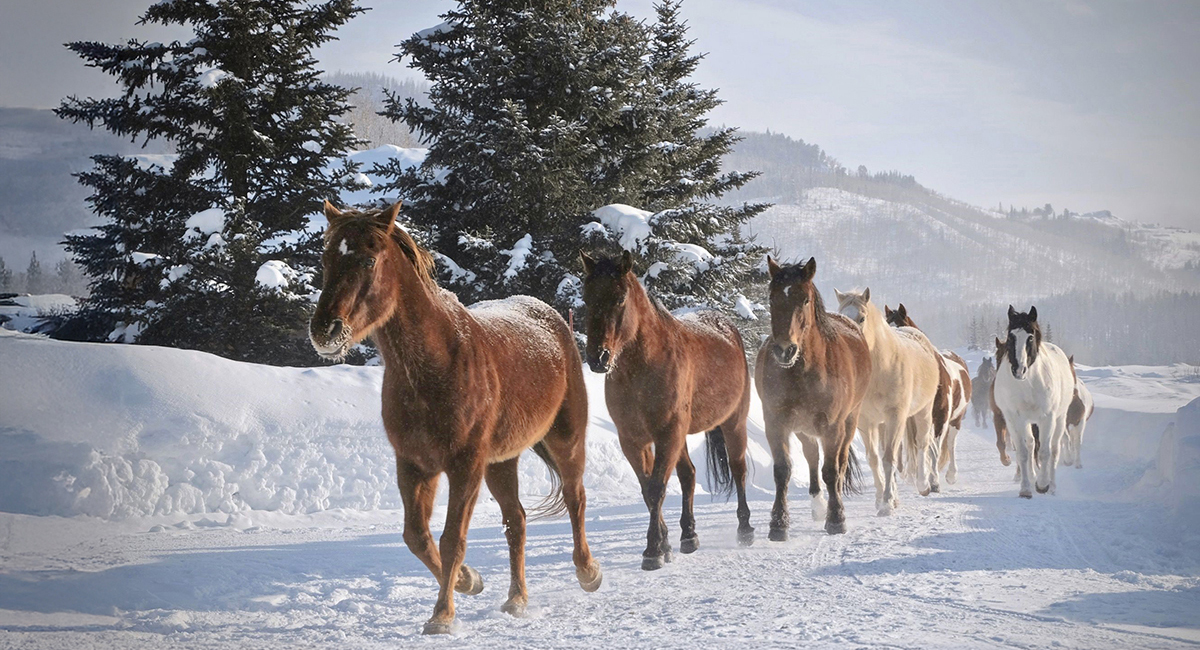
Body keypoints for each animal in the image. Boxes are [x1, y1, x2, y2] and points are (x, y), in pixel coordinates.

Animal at [309, 202, 600, 638]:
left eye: (368, 259)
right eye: (327, 258)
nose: (325, 330)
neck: (437, 364)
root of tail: (552, 318)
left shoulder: (464, 466)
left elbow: (451, 539)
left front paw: (442, 615)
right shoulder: (415, 465)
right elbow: (416, 536)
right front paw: (469, 580)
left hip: (564, 439)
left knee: (574, 498)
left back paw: (588, 572)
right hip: (500, 463)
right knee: (517, 521)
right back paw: (517, 599)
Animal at [578, 251, 748, 573]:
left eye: (620, 298)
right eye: (586, 297)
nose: (598, 358)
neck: (641, 367)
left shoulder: (667, 433)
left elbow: (657, 488)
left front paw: (652, 551)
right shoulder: (633, 439)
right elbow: (648, 489)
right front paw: (666, 544)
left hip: (733, 424)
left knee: (738, 470)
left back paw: (746, 528)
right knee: (689, 475)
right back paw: (689, 535)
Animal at [758, 257, 873, 537]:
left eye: (805, 300)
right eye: (772, 298)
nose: (784, 350)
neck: (804, 371)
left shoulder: (832, 426)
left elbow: (831, 471)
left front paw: (836, 519)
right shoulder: (775, 423)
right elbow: (782, 471)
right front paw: (778, 524)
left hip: (849, 422)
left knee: (839, 463)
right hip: (804, 428)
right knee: (811, 457)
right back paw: (818, 505)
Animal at [840, 289, 940, 515]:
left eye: (862, 318)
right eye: (841, 316)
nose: (849, 345)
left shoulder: (896, 416)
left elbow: (889, 459)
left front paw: (886, 503)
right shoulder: (866, 422)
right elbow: (875, 459)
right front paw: (882, 500)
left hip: (923, 412)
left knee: (922, 444)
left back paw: (924, 485)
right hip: (884, 424)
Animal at [988, 305, 1075, 498]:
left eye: (1030, 337)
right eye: (1011, 336)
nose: (1019, 369)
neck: (1027, 385)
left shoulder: (1047, 418)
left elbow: (1044, 452)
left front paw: (1042, 485)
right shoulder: (1013, 419)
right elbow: (1023, 453)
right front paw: (1026, 489)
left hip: (1059, 419)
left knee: (1054, 449)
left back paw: (1052, 486)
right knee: (1031, 444)